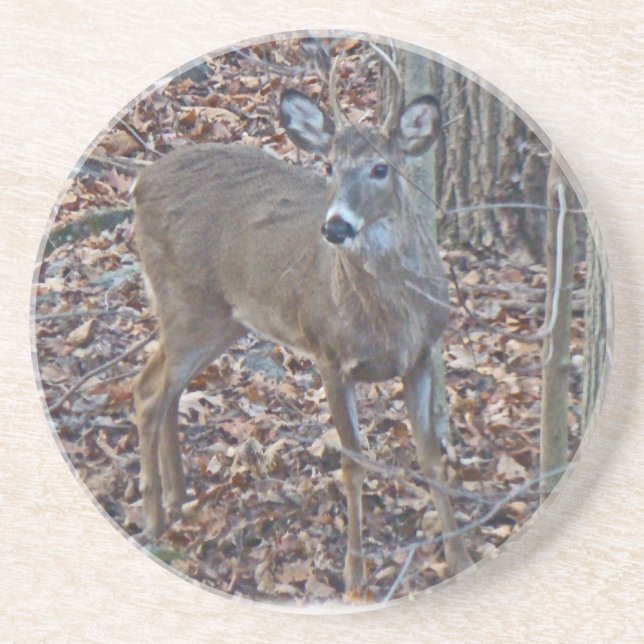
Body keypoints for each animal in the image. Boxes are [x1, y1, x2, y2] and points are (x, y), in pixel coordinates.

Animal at [132, 53, 473, 594]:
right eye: (329, 167)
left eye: (381, 168)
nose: (336, 226)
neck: (391, 323)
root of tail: (139, 185)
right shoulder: (329, 354)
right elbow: (353, 462)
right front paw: (354, 573)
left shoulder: (421, 356)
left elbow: (431, 455)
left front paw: (458, 558)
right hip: (186, 304)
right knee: (147, 390)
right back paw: (153, 518)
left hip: (222, 318)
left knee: (165, 387)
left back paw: (178, 498)